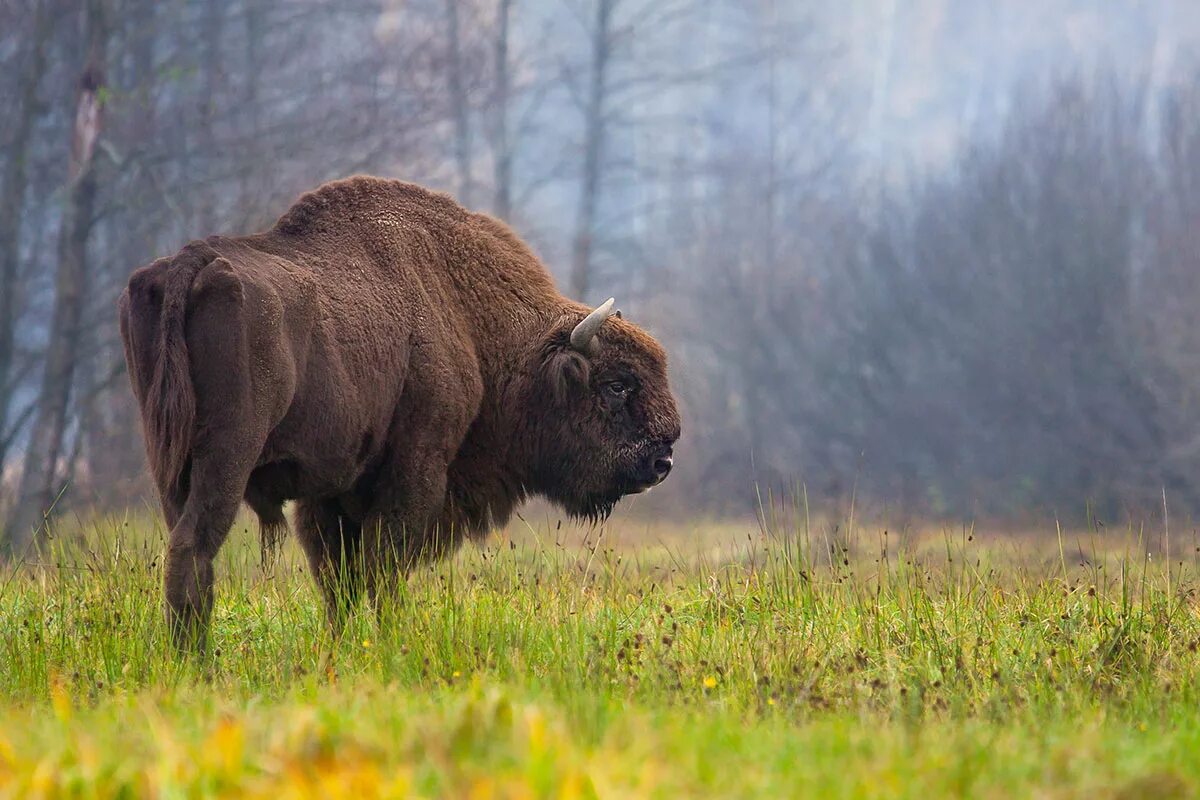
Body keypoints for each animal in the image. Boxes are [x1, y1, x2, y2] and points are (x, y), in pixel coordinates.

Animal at [121, 175, 686, 652]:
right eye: (617, 385)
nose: (663, 459)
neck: (469, 318)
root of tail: (191, 262)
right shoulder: (414, 470)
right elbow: (383, 568)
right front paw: (392, 642)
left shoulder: (329, 493)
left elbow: (340, 579)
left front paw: (343, 648)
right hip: (227, 457)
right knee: (194, 547)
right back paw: (197, 660)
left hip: (168, 463)